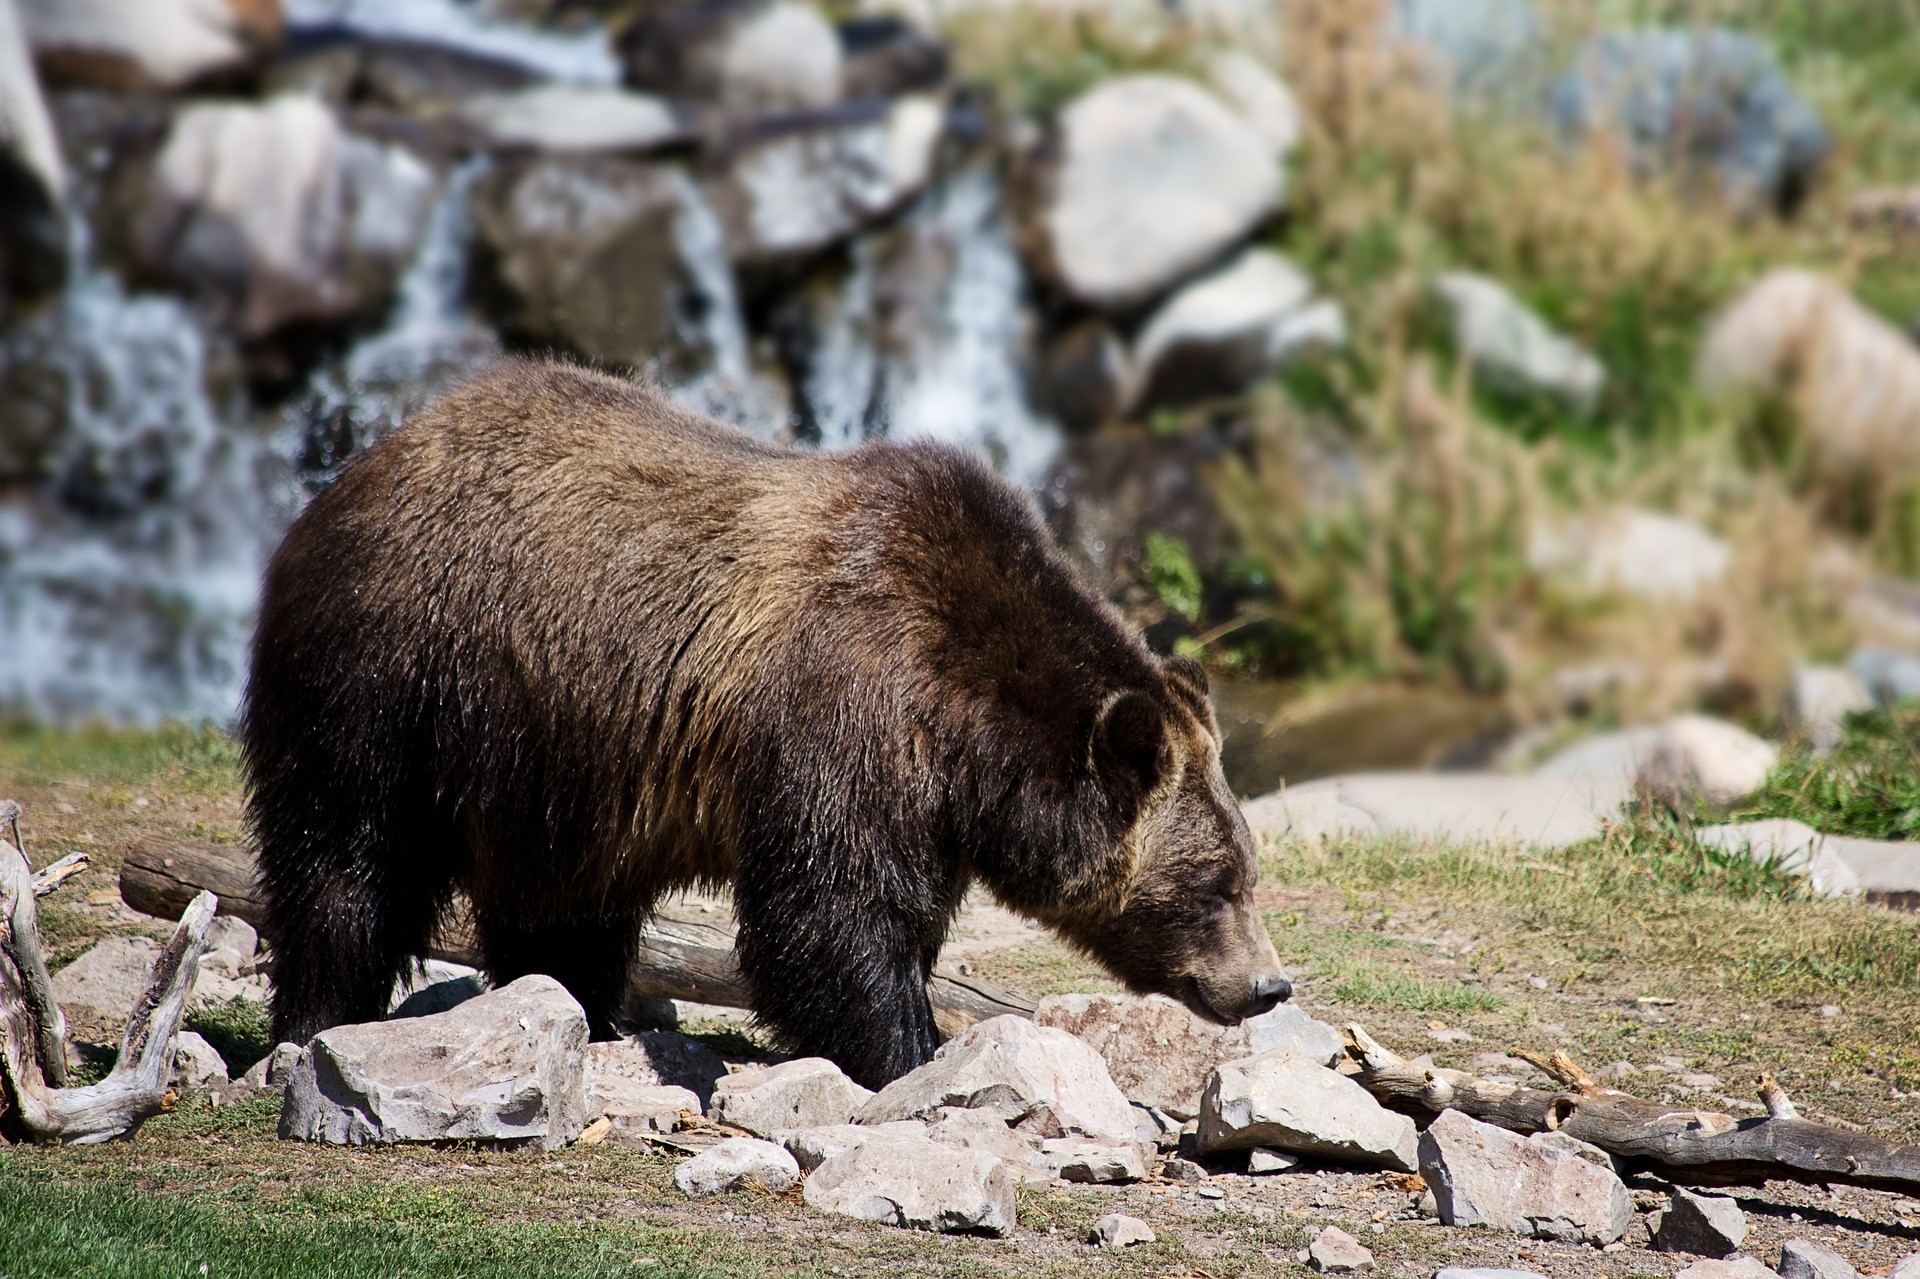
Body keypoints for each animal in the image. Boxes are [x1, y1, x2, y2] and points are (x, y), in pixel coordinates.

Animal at [242, 360, 1288, 1089]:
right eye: (1218, 882)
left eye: (1247, 869)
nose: (1267, 985)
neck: (968, 728)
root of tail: (360, 465)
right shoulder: (848, 705)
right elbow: (829, 912)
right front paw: (910, 1051)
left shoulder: (927, 797)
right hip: (396, 670)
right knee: (349, 854)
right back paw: (318, 1017)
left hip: (552, 756)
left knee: (561, 901)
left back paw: (580, 1008)